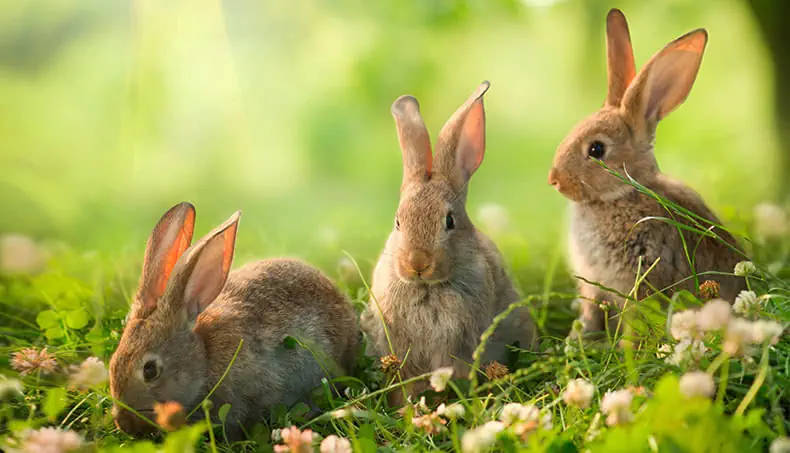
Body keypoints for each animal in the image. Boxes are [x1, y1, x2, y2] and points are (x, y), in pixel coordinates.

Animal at [548, 9, 747, 337]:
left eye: (596, 150)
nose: (555, 180)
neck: (622, 194)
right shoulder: (593, 287)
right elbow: (591, 312)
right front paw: (578, 337)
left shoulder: (644, 273)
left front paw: (626, 344)